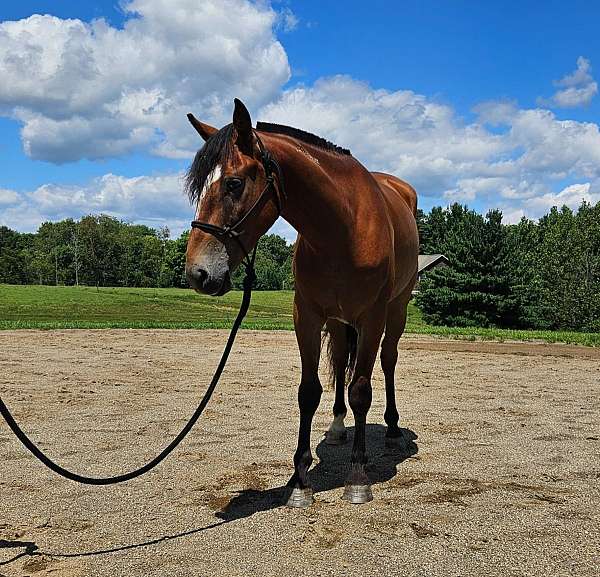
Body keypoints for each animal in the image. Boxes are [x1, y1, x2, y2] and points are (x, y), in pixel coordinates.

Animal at [185, 101, 420, 506]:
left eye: (234, 183)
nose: (197, 273)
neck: (342, 229)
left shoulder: (372, 317)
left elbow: (361, 390)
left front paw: (357, 477)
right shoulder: (307, 315)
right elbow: (309, 392)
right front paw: (299, 482)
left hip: (396, 310)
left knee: (388, 361)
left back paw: (391, 429)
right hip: (340, 322)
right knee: (340, 362)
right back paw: (339, 426)